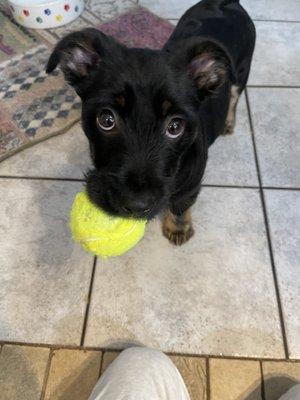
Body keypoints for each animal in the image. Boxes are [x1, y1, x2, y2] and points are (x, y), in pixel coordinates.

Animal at [47, 0, 255, 245]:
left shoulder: (191, 184)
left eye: (175, 126)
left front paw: (178, 228)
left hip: (241, 73)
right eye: (106, 119)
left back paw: (228, 122)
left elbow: (180, 205)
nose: (136, 206)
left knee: (234, 96)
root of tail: (225, 3)